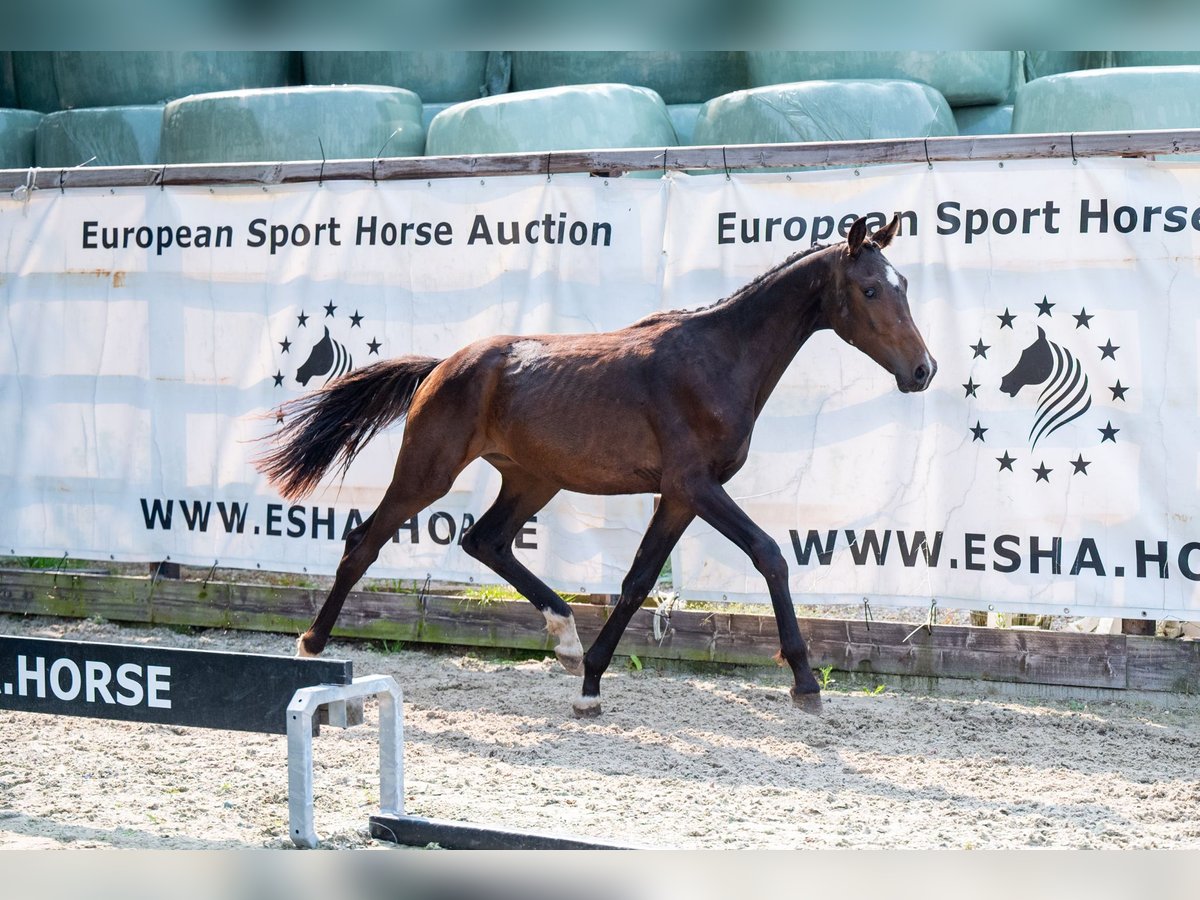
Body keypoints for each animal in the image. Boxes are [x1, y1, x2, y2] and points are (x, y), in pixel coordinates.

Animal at [255, 217, 936, 720]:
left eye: (904, 285)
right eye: (870, 290)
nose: (923, 370)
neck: (717, 358)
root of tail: (443, 365)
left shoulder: (679, 497)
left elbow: (638, 581)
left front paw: (589, 682)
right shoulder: (695, 486)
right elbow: (769, 554)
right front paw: (805, 684)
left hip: (533, 479)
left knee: (485, 541)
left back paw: (563, 638)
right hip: (429, 470)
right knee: (363, 542)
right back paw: (311, 648)